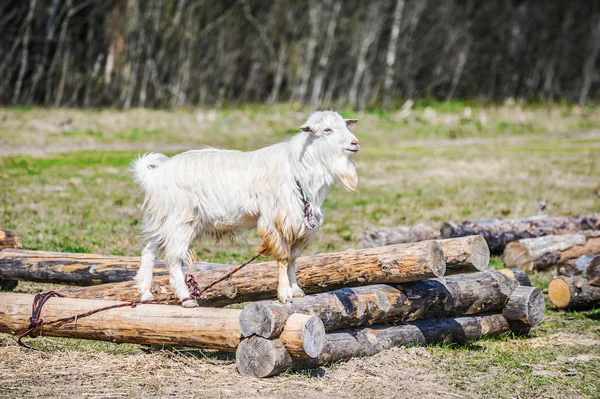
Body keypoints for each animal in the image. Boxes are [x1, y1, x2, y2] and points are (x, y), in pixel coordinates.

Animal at [131, 111, 358, 308]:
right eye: (327, 130)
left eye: (345, 125)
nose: (355, 143)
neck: (299, 168)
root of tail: (153, 176)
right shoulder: (276, 221)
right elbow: (283, 258)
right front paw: (285, 294)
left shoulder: (299, 225)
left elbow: (293, 259)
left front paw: (296, 290)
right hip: (180, 221)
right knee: (172, 259)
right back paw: (186, 299)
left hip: (164, 221)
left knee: (149, 251)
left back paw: (146, 293)